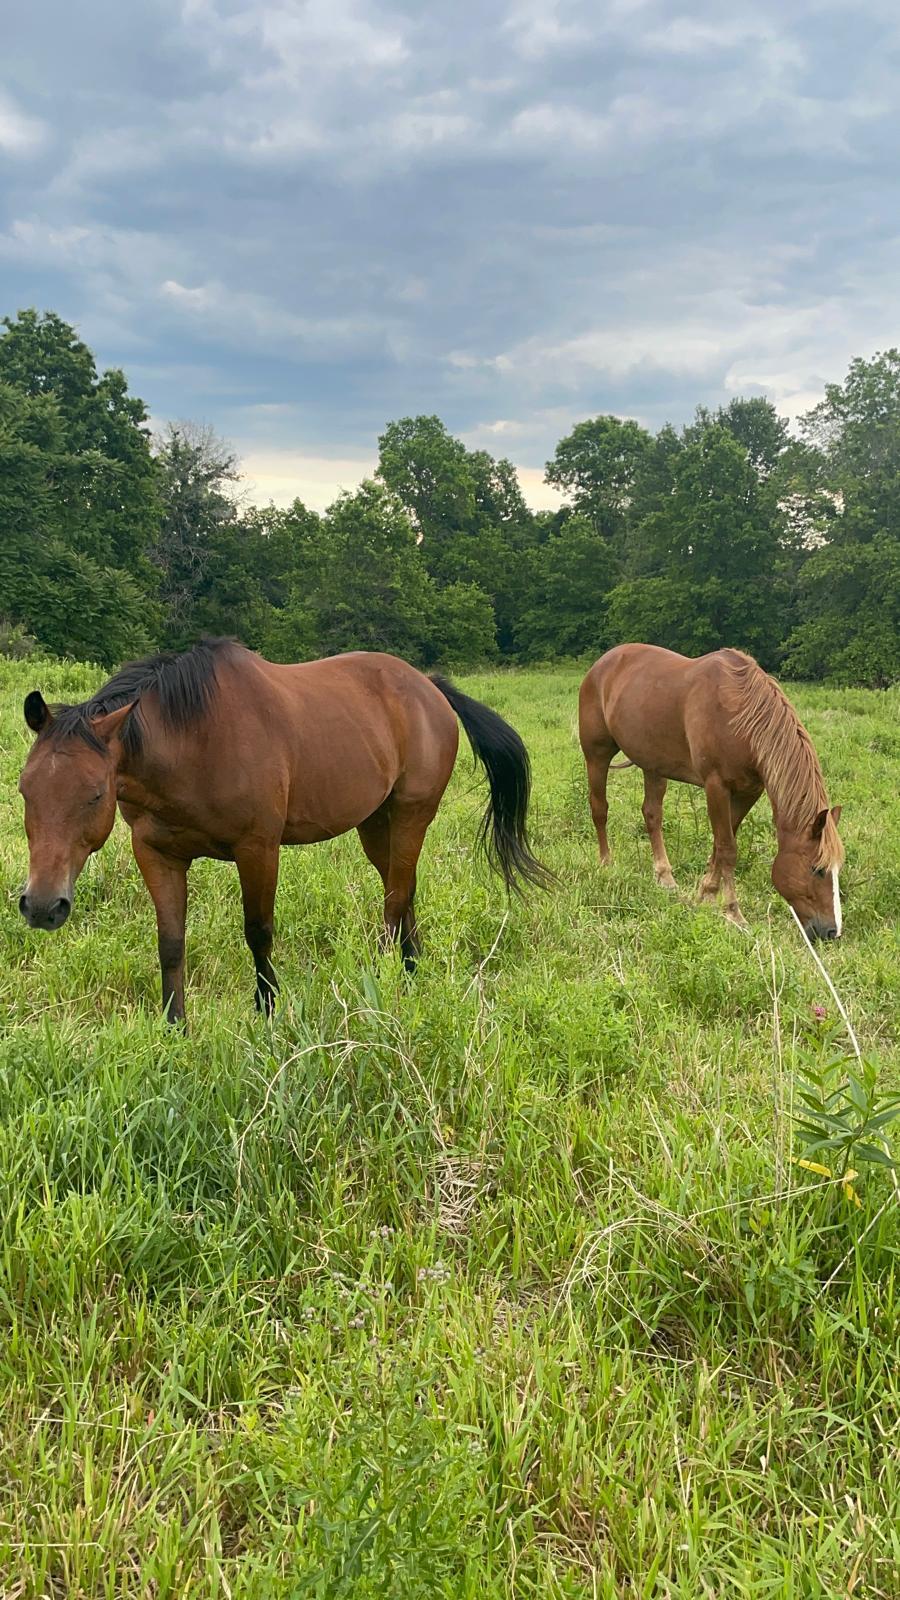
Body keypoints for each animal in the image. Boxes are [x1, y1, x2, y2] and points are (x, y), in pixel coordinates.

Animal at [18, 639, 550, 1022]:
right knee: (404, 892)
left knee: (395, 901)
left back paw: (382, 981)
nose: (42, 906)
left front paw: (268, 1011)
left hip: (411, 815)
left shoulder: (258, 848)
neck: (192, 740)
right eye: (24, 790)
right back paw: (411, 972)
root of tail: (430, 687)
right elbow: (170, 942)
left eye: (94, 795)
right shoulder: (156, 853)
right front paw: (175, 1028)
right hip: (376, 825)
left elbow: (258, 932)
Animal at [579, 644, 845, 938]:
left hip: (653, 764)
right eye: (817, 869)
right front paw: (733, 912)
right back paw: (606, 863)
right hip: (597, 754)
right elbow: (728, 848)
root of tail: (602, 663)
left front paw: (706, 893)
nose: (832, 931)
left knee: (652, 815)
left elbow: (720, 843)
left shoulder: (748, 792)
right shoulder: (716, 786)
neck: (742, 718)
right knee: (599, 809)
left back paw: (664, 876)